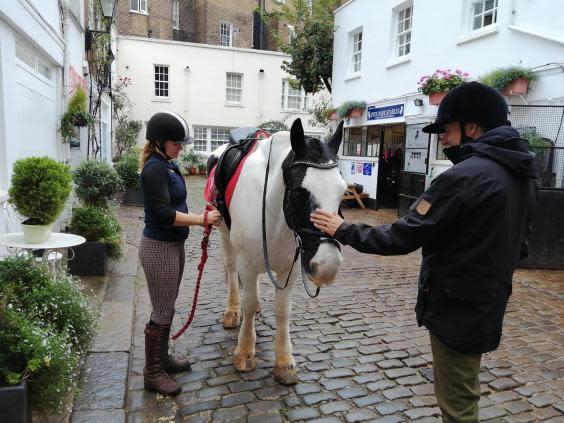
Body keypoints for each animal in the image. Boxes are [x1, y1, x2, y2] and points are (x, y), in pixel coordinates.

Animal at [213, 117, 346, 386]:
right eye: (299, 191)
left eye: (343, 192)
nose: (327, 266)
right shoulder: (247, 262)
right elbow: (249, 302)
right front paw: (245, 351)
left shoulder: (290, 269)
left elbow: (282, 310)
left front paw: (284, 362)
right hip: (224, 236)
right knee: (232, 270)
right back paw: (233, 310)